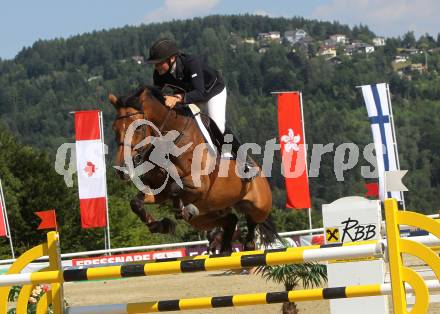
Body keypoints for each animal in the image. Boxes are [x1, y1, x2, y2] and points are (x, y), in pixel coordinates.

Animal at [108, 86, 278, 253]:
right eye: (114, 128)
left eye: (139, 128)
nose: (122, 169)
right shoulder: (159, 191)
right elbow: (136, 202)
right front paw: (160, 225)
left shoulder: (199, 185)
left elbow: (175, 187)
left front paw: (183, 210)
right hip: (204, 219)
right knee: (230, 220)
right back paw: (224, 249)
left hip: (259, 207)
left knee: (251, 230)